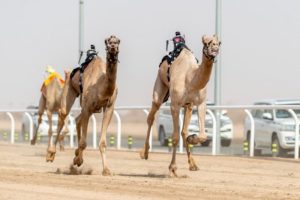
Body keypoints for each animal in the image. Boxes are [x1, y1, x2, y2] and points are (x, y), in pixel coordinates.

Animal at [47, 35, 120, 175]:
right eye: (107, 42)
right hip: (69, 87)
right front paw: (78, 161)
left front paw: (106, 170)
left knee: (77, 120)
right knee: (63, 116)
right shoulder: (87, 107)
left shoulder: (109, 107)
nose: (113, 46)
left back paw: (75, 153)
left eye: (118, 41)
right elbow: (83, 143)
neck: (102, 86)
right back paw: (50, 154)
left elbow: (102, 143)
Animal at [141, 34, 220, 177]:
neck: (191, 79)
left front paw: (192, 138)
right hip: (159, 87)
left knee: (184, 131)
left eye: (219, 42)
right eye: (206, 42)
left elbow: (201, 135)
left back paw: (193, 164)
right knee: (151, 116)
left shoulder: (199, 103)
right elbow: (175, 137)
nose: (215, 49)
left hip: (188, 106)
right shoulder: (175, 105)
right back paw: (144, 153)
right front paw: (172, 168)